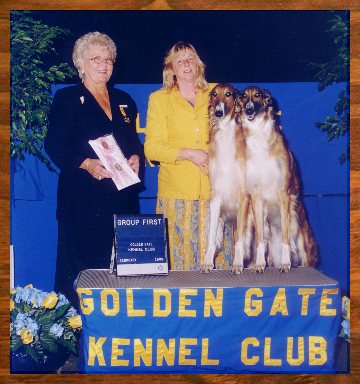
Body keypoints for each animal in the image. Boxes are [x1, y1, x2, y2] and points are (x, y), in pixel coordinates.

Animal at [201, 85, 252, 272]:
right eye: (214, 94)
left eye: (229, 94)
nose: (218, 112)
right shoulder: (216, 196)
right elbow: (210, 239)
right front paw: (207, 263)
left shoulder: (243, 196)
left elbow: (239, 242)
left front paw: (237, 264)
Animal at [239, 85, 318, 272]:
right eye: (244, 96)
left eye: (258, 95)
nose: (249, 109)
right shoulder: (257, 196)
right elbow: (260, 240)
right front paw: (259, 264)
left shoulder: (283, 194)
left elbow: (285, 240)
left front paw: (285, 263)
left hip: (302, 241)